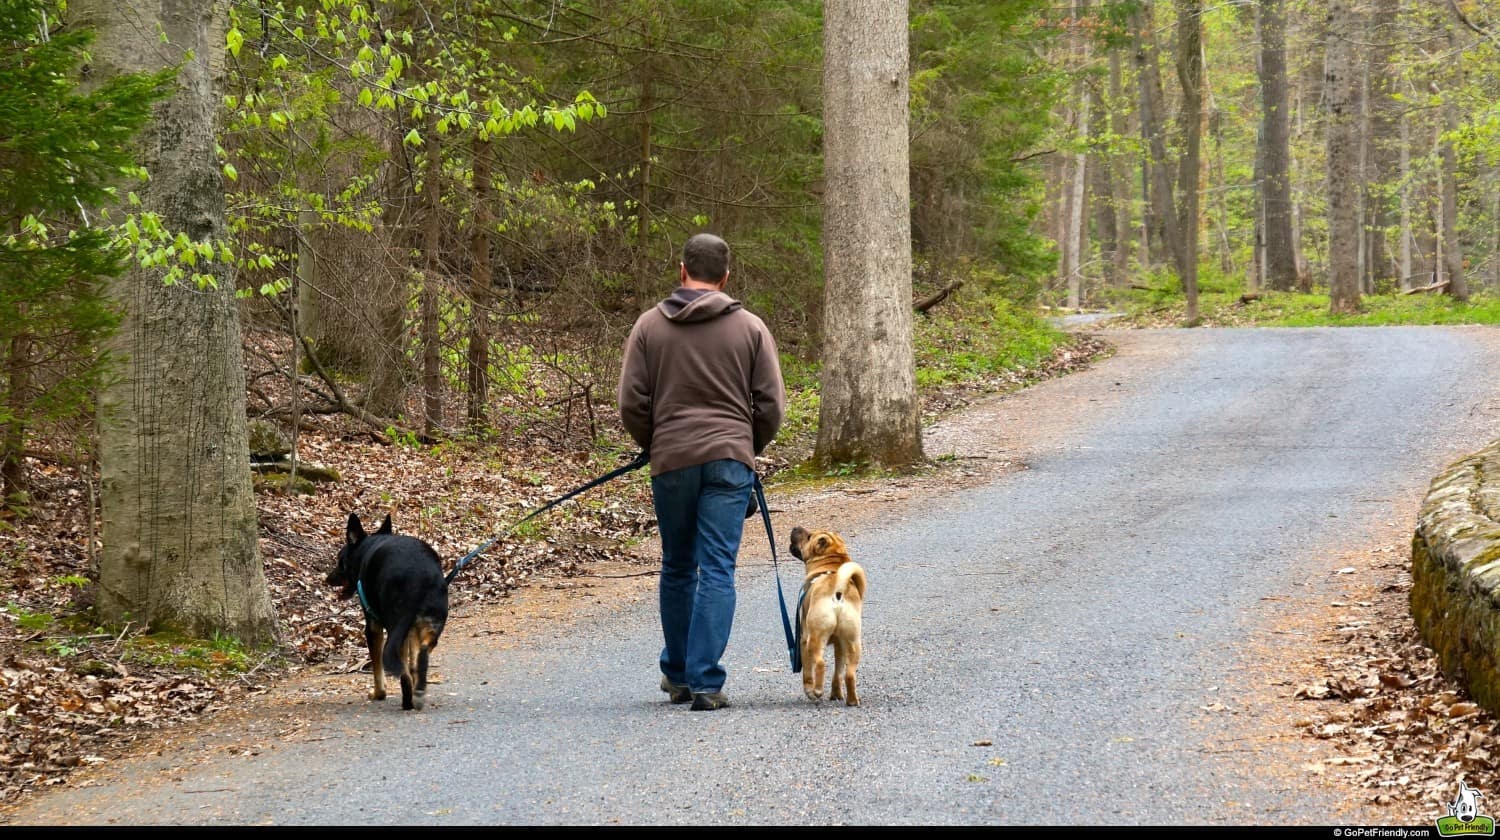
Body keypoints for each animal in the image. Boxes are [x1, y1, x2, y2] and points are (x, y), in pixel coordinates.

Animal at [325, 513, 447, 708]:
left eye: (340, 561)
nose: (327, 579)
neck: (366, 548)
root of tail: (420, 576)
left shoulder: (372, 627)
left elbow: (377, 667)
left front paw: (378, 694)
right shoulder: (412, 630)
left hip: (395, 628)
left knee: (404, 673)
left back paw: (407, 702)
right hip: (431, 624)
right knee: (420, 656)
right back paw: (419, 692)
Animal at [786, 528, 870, 705]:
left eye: (809, 536)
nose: (796, 527)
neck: (829, 565)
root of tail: (838, 589)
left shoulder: (803, 640)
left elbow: (807, 673)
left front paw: (809, 691)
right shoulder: (839, 645)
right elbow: (838, 673)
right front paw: (836, 694)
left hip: (815, 639)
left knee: (820, 664)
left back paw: (816, 691)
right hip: (853, 643)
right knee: (849, 674)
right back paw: (852, 700)